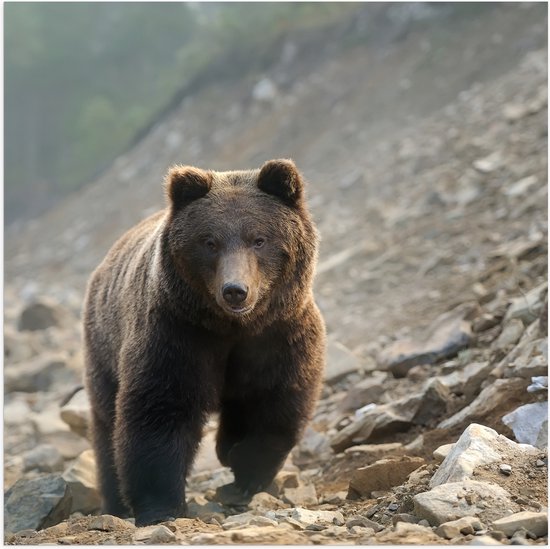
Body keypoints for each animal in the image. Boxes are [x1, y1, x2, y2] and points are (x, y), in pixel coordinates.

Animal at [83, 157, 328, 524]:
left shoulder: (279, 334)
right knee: (106, 423)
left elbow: (273, 401)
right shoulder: (177, 333)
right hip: (103, 344)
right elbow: (160, 409)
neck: (232, 326)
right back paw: (116, 502)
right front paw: (160, 506)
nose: (235, 290)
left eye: (259, 239)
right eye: (209, 241)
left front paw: (244, 469)